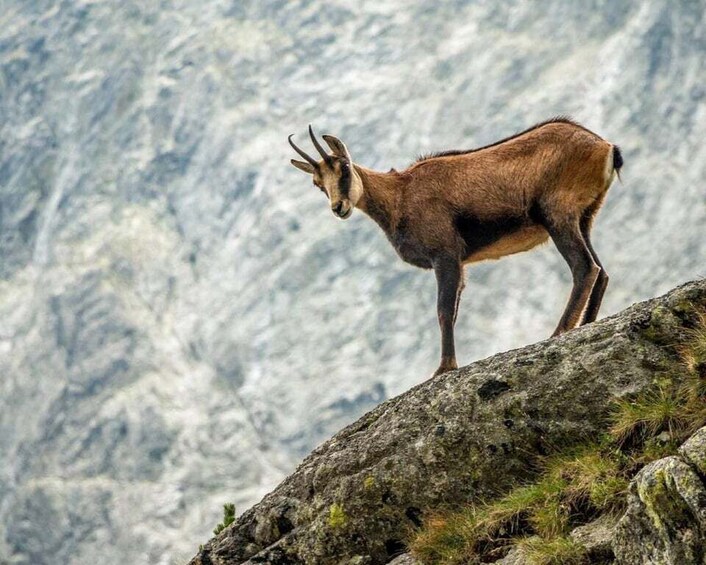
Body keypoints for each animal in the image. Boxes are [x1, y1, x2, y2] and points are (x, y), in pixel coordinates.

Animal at [289, 118, 623, 376]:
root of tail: (605, 146)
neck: (400, 196)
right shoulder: (460, 263)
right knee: (601, 270)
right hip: (584, 217)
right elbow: (453, 310)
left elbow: (443, 310)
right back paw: (586, 324)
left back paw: (560, 331)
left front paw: (444, 368)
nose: (339, 207)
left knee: (584, 266)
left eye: (344, 167)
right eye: (318, 183)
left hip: (558, 216)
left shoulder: (445, 255)